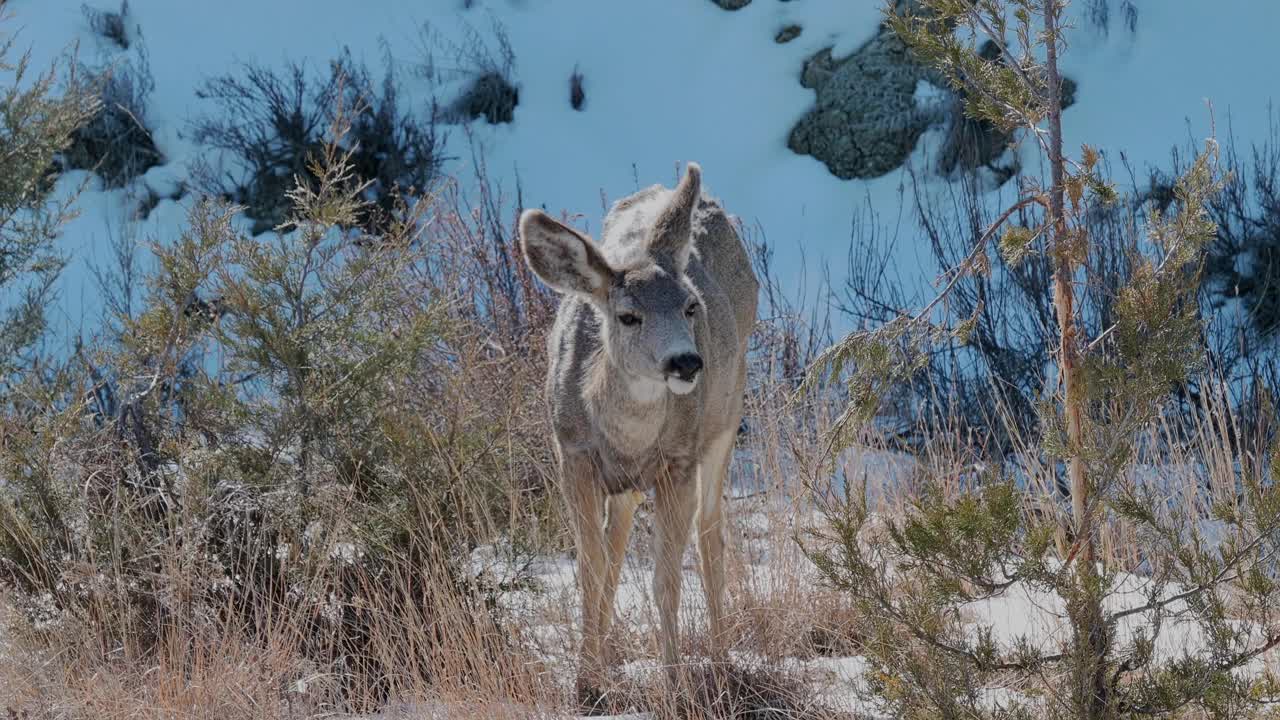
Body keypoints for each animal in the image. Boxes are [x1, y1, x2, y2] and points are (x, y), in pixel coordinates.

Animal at [519, 163, 757, 696]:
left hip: (727, 415)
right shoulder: (572, 455)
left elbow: (665, 580)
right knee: (617, 540)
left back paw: (720, 654)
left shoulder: (678, 463)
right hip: (626, 482)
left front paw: (673, 682)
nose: (687, 361)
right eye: (628, 316)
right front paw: (585, 678)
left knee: (711, 532)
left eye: (690, 306)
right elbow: (591, 569)